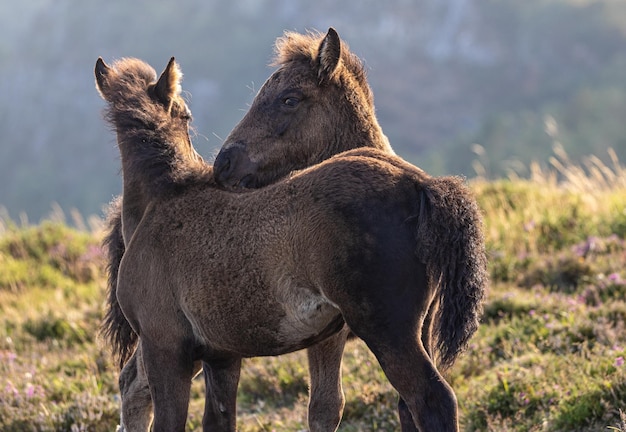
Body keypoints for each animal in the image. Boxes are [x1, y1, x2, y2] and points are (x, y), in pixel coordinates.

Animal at [97, 58, 486, 432]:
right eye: (186, 113)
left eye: (289, 99)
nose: (225, 164)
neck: (164, 199)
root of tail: (419, 183)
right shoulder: (221, 356)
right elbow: (220, 421)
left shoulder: (164, 347)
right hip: (421, 325)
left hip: (388, 328)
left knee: (431, 400)